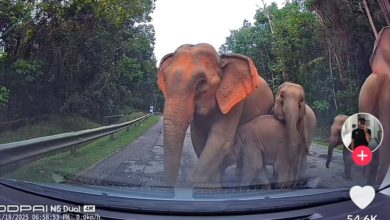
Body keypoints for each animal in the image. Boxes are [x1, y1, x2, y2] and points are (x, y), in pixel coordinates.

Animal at [156, 43, 274, 186]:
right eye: (165, 80)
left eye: (202, 83)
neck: (221, 59)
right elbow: (198, 138)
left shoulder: (235, 102)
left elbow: (220, 140)